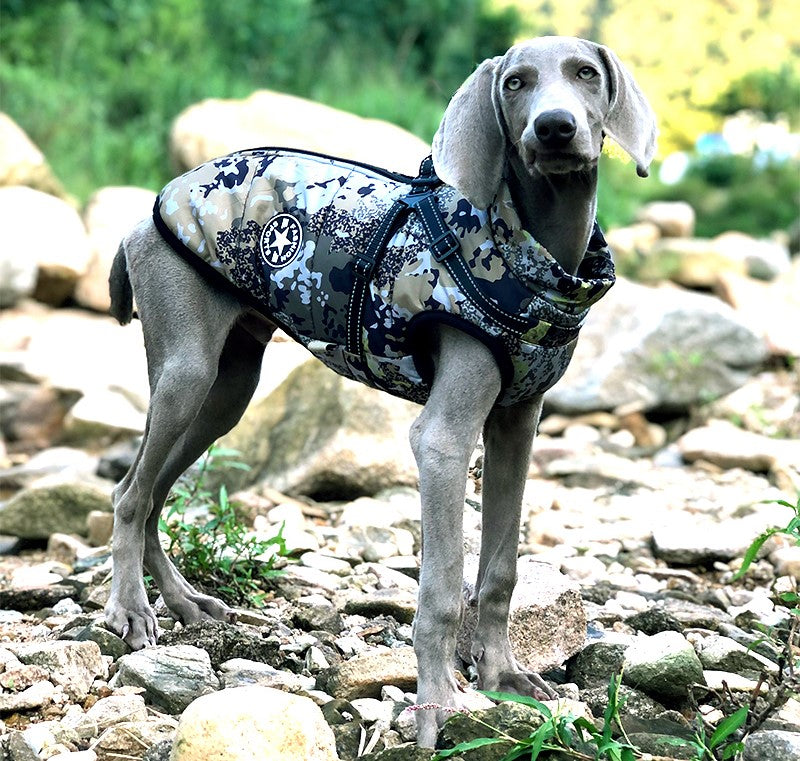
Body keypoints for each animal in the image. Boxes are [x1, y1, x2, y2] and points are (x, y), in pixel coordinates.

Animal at [104, 37, 656, 748]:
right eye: (515, 82)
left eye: (586, 74)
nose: (554, 127)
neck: (530, 251)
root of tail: (148, 210)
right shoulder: (443, 442)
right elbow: (442, 590)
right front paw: (438, 705)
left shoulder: (516, 424)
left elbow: (500, 571)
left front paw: (502, 677)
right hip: (185, 371)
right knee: (130, 494)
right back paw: (130, 609)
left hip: (228, 390)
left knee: (149, 493)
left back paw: (181, 602)